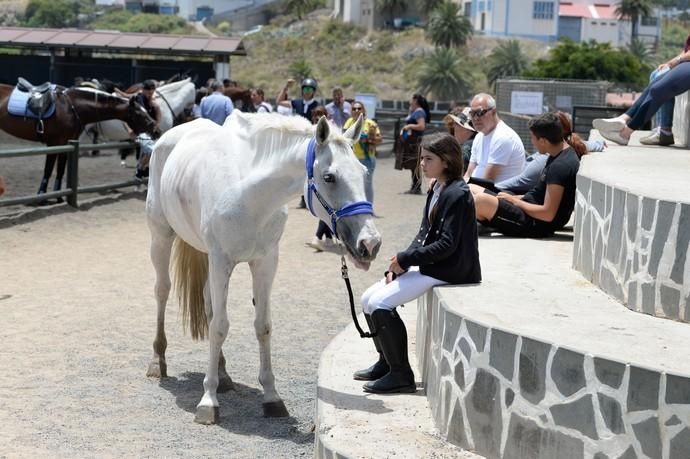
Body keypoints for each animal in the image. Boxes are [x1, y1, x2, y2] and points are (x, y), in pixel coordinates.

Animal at [0, 83, 156, 195]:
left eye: (145, 109)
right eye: (138, 112)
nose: (154, 126)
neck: (71, 107)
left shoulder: (67, 143)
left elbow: (60, 169)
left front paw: (58, 196)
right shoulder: (54, 143)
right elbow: (48, 169)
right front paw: (42, 195)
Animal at [145, 110, 382, 424]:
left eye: (364, 172)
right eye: (329, 177)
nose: (370, 243)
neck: (248, 193)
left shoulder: (266, 261)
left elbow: (262, 326)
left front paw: (271, 397)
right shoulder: (221, 260)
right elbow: (219, 327)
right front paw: (208, 401)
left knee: (209, 305)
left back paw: (222, 373)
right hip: (162, 237)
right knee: (162, 291)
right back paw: (158, 360)